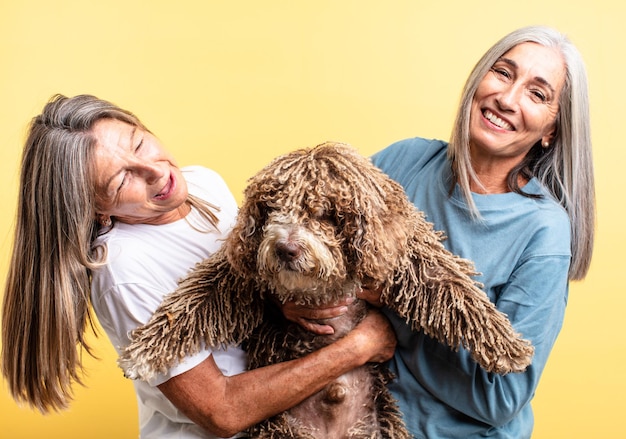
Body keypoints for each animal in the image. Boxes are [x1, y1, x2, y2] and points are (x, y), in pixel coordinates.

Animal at [118, 143, 532, 439]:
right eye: (270, 208)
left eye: (324, 214)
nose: (285, 249)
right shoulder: (242, 275)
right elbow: (198, 299)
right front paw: (145, 349)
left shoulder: (408, 256)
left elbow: (452, 288)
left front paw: (506, 343)